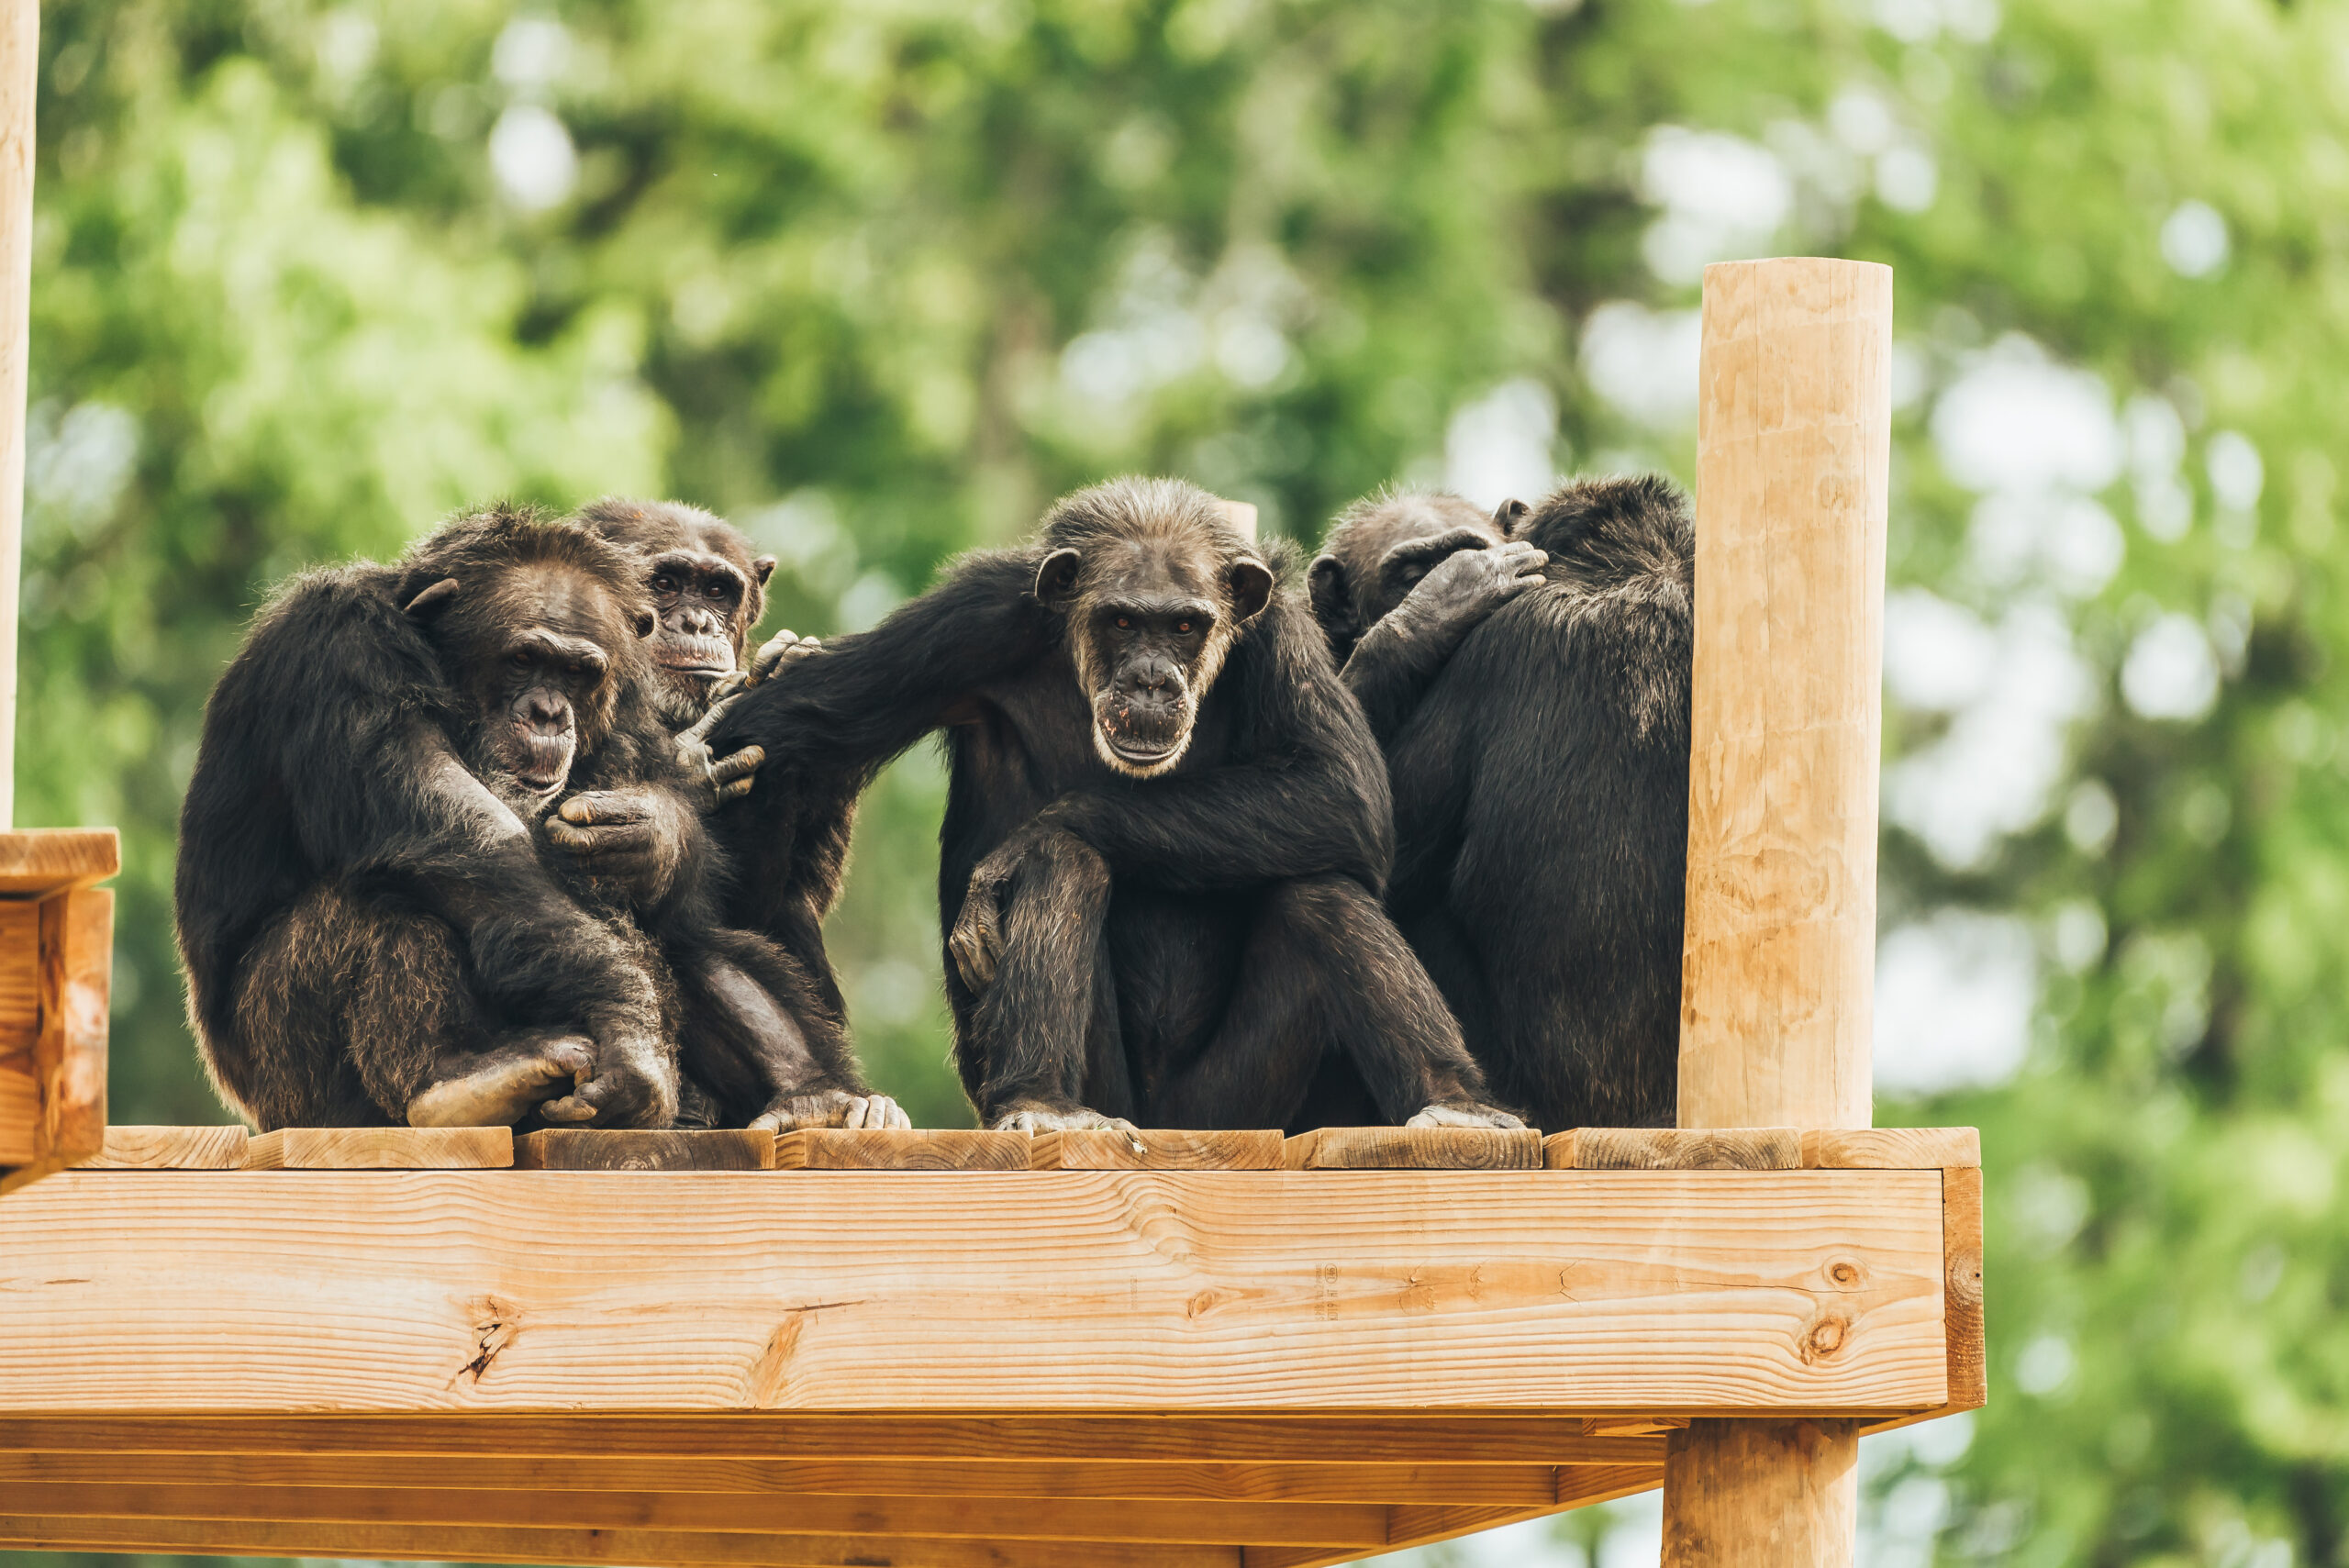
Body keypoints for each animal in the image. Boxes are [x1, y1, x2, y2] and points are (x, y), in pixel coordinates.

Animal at [705, 472, 1521, 1131]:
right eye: (1123, 619)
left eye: (1185, 624)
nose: (1152, 678)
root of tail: (1164, 1124)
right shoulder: (963, 621)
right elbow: (782, 725)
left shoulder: (1280, 633)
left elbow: (1339, 787)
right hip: (1108, 1092)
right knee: (1068, 865)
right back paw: (1043, 1102)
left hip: (1231, 1105)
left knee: (1318, 892)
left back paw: (1457, 1103)